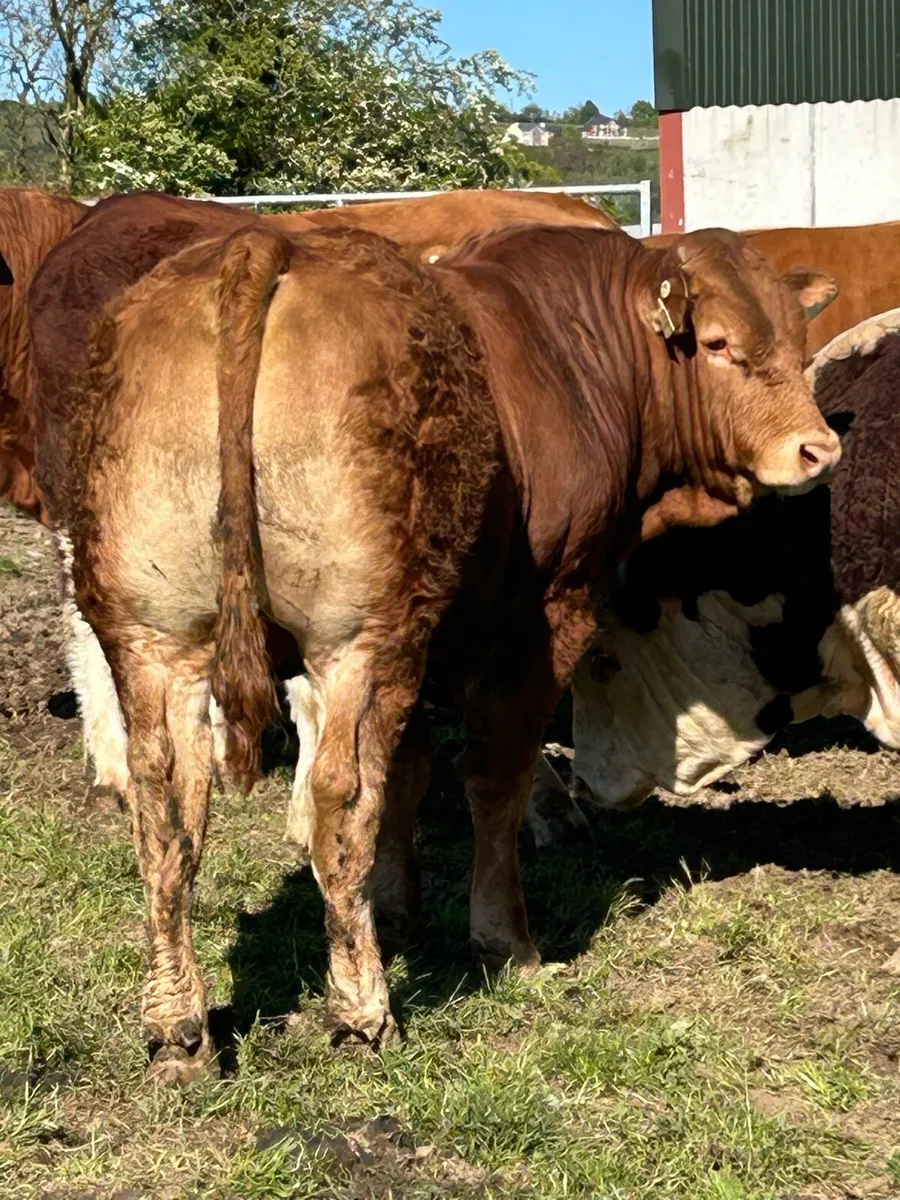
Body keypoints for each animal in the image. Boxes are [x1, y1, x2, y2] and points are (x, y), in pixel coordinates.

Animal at [28, 205, 840, 1080]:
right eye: (719, 343)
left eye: (798, 337)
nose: (818, 449)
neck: (571, 350)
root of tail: (259, 243)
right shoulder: (542, 617)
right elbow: (491, 778)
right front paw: (505, 942)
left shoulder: (426, 631)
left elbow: (409, 774)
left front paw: (392, 909)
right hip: (353, 638)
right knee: (338, 794)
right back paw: (361, 1012)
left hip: (158, 637)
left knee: (170, 806)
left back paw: (179, 1029)